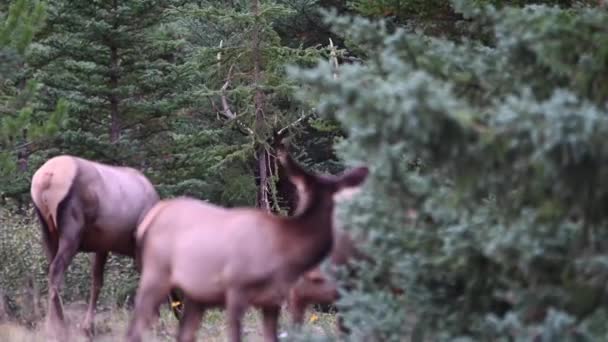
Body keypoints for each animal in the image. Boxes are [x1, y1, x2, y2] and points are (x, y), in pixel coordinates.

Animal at [30, 156, 159, 340]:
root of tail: (47, 176)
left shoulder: (102, 245)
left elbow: (97, 282)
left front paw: (88, 328)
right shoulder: (138, 246)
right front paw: (154, 324)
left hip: (47, 231)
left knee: (51, 269)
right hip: (72, 231)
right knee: (56, 271)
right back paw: (60, 328)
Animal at [126, 145, 368, 342]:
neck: (285, 249)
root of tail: (152, 216)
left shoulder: (274, 300)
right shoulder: (235, 289)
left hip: (196, 295)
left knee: (183, 333)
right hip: (156, 273)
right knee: (136, 327)